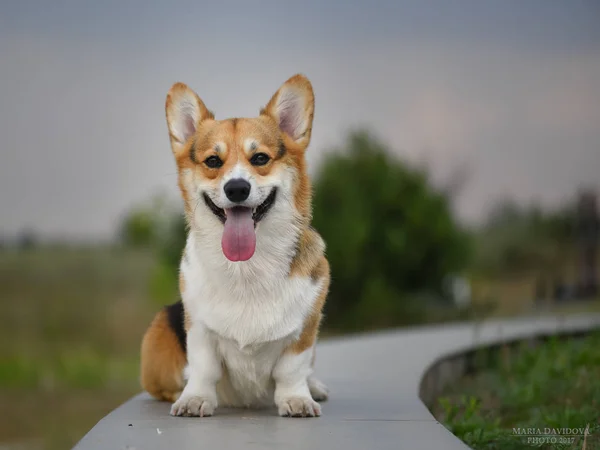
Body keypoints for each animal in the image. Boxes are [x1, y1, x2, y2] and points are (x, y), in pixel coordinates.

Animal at [140, 74, 330, 418]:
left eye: (260, 158)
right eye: (213, 161)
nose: (237, 188)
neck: (247, 269)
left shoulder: (305, 330)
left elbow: (292, 369)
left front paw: (297, 399)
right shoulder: (199, 330)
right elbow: (203, 367)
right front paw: (194, 398)